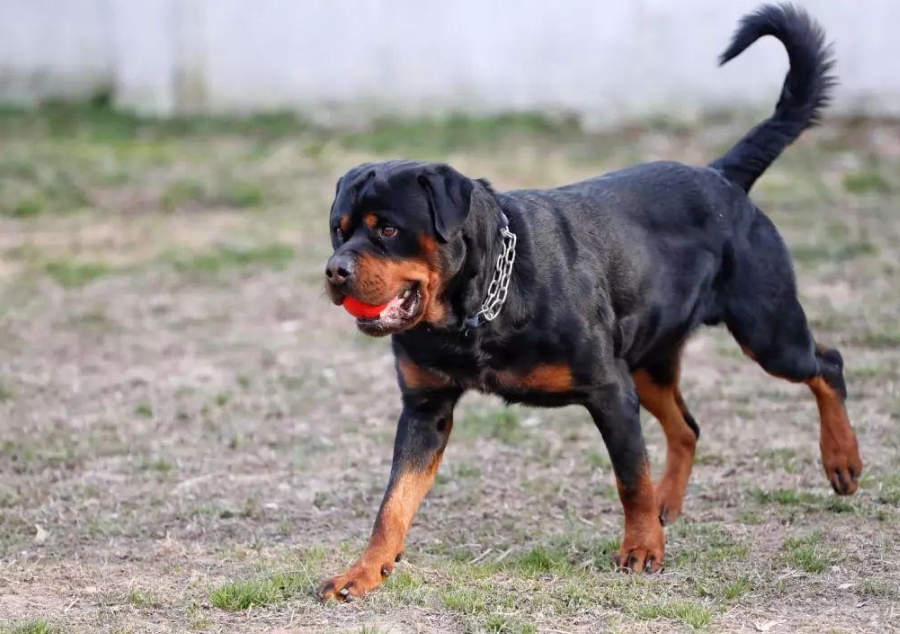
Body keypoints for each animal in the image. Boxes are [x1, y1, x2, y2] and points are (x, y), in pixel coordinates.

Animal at [314, 3, 856, 596]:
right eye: (339, 230)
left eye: (387, 229)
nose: (335, 270)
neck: (478, 309)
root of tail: (722, 176)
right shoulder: (425, 407)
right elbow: (393, 501)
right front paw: (364, 571)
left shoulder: (609, 389)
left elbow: (629, 477)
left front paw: (641, 549)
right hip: (648, 360)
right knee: (686, 426)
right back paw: (672, 502)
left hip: (766, 330)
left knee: (826, 364)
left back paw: (842, 460)